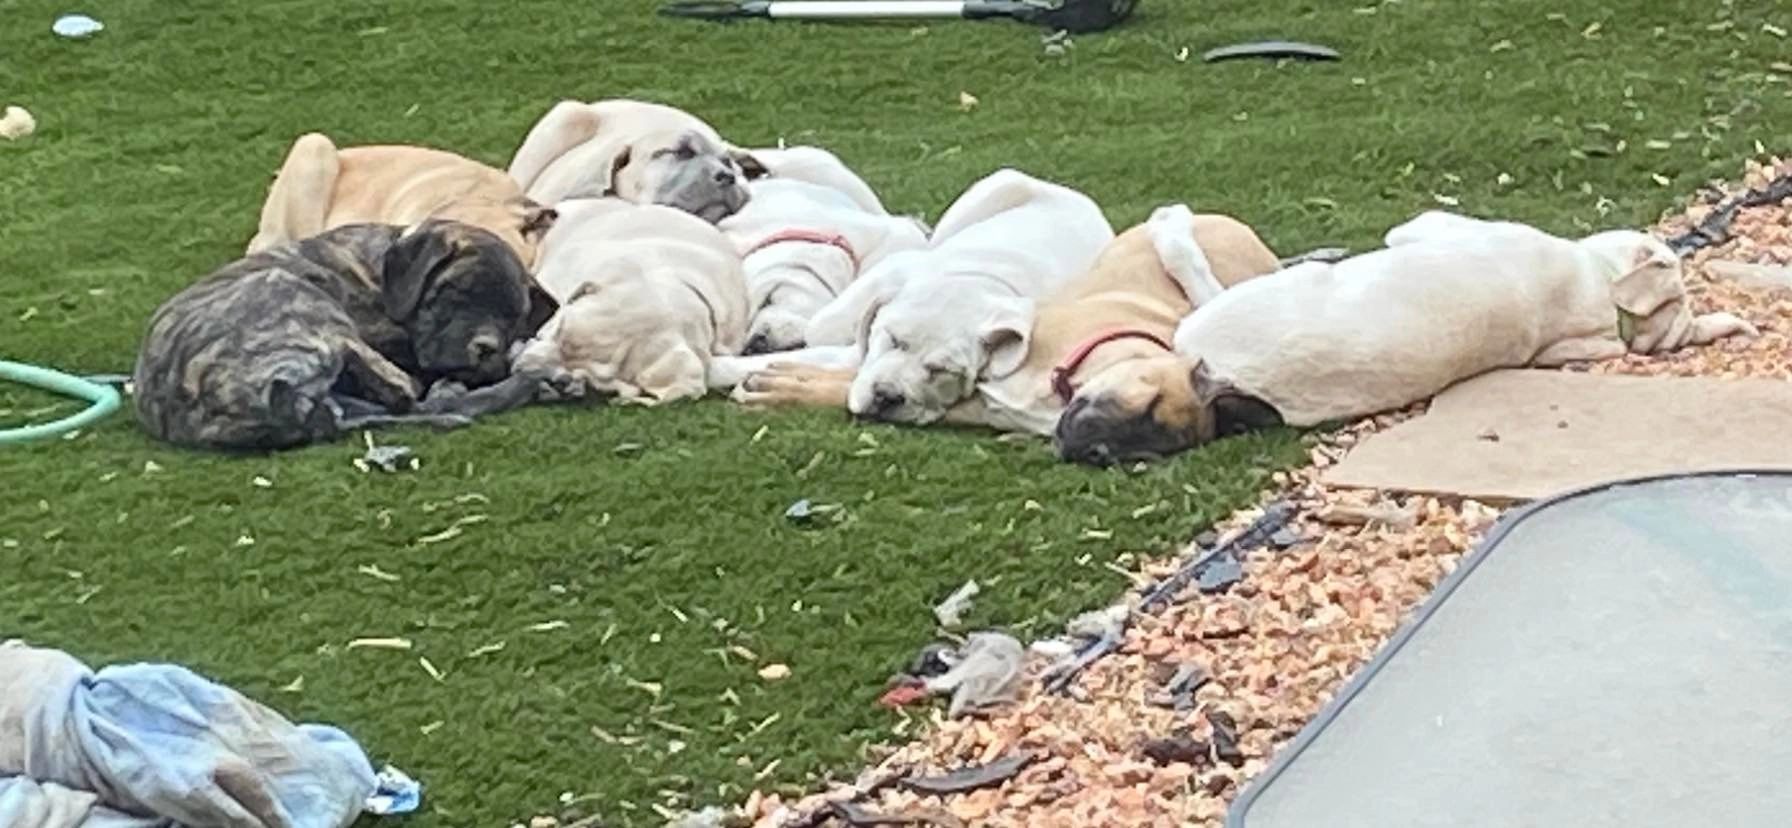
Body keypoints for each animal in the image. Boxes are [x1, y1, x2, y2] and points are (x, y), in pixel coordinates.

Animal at [1054, 209, 1761, 465]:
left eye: (1144, 406)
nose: (1079, 447)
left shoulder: (1418, 226)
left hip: (1224, 303)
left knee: (1188, 258)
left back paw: (1172, 223)